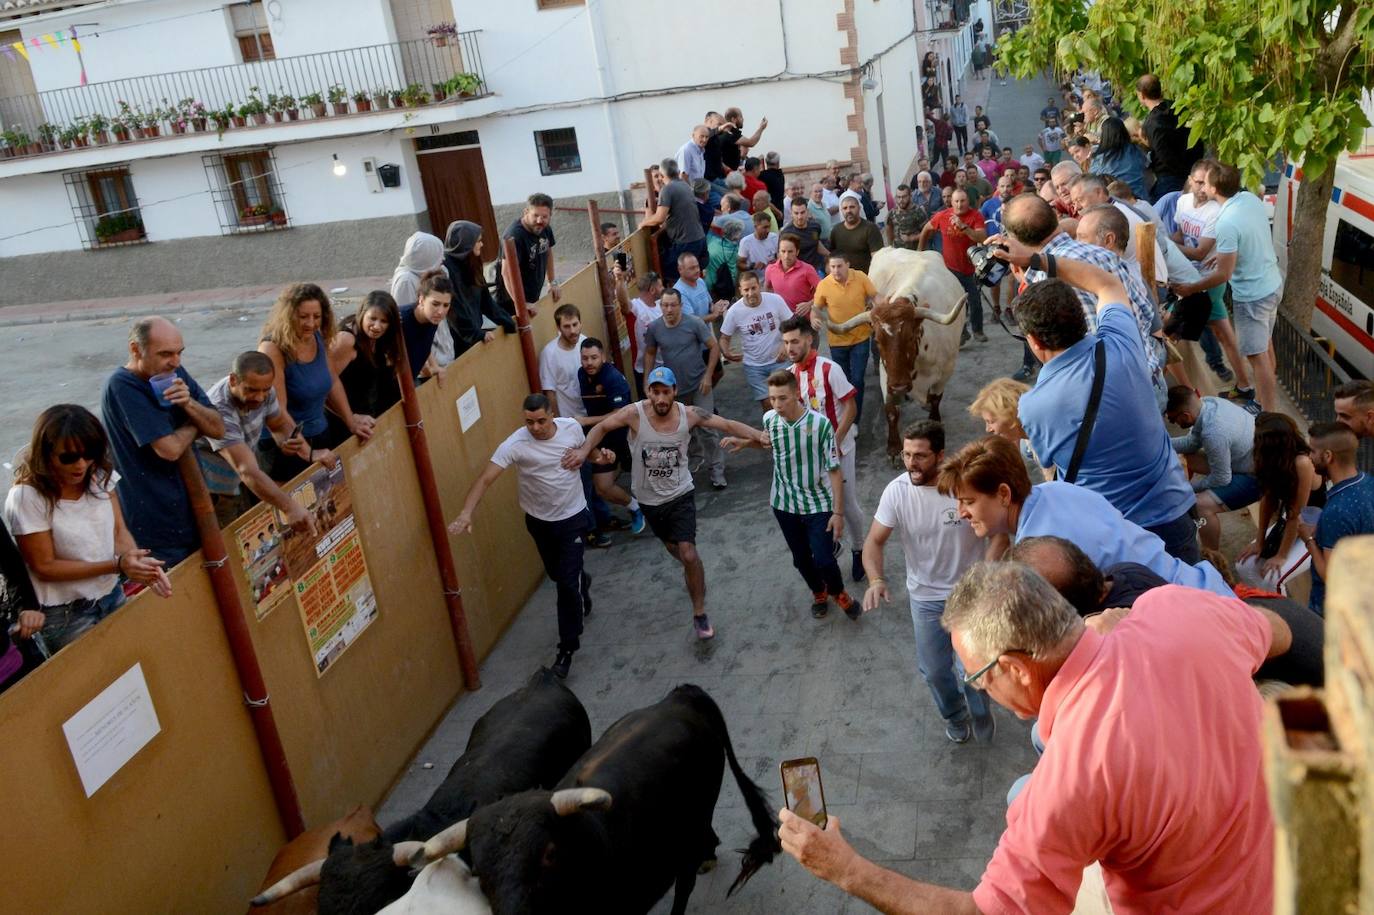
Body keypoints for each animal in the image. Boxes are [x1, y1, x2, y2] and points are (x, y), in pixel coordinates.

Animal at [813, 247, 967, 456]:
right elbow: (891, 409)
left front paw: (935, 422)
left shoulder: (946, 370)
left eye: (910, 337)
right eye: (878, 340)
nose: (900, 387)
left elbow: (936, 399)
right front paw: (893, 446)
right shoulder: (888, 373)